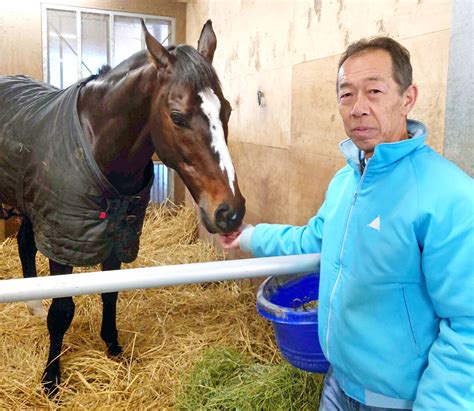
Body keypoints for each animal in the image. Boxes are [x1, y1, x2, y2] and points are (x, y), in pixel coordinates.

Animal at [0, 19, 244, 396]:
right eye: (177, 116)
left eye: (227, 110)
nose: (230, 211)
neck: (96, 143)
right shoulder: (64, 239)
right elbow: (63, 310)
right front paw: (51, 378)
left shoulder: (118, 234)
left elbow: (110, 292)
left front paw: (113, 347)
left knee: (25, 243)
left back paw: (33, 305)